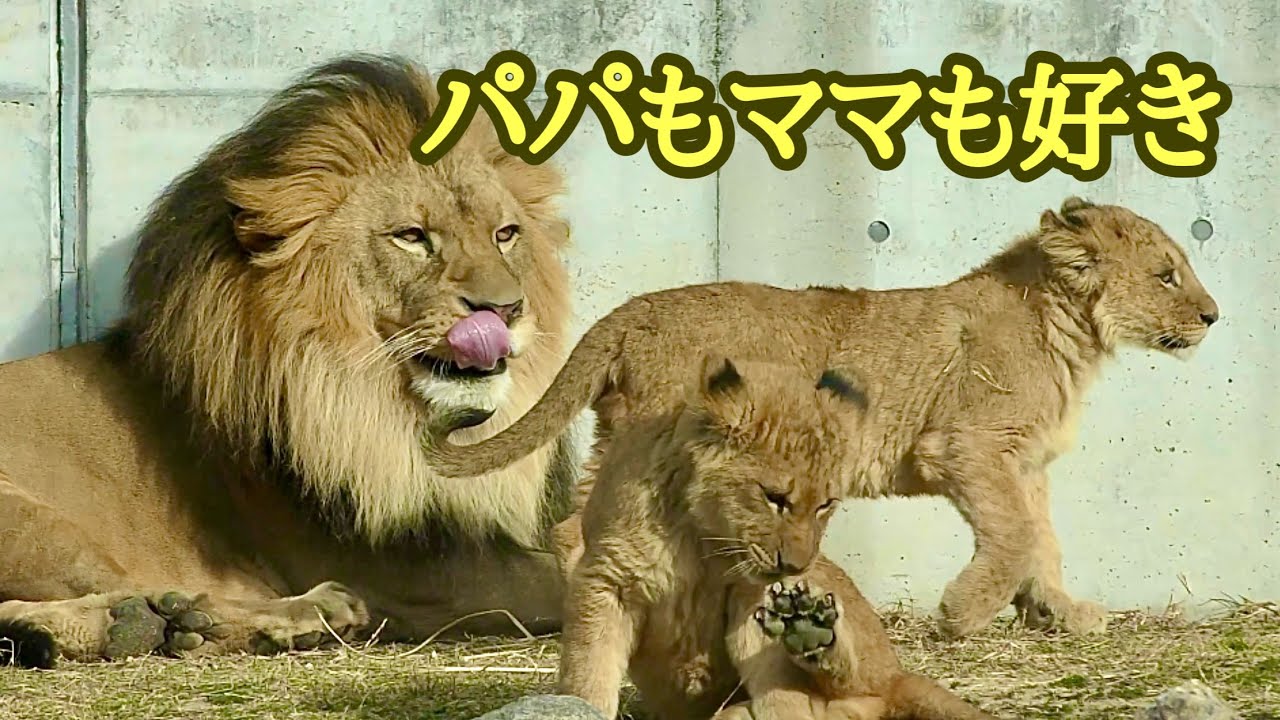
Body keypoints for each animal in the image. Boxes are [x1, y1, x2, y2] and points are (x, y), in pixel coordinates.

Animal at [0, 54, 584, 668]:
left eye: (505, 234)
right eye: (411, 236)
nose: (507, 309)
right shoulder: (399, 568)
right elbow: (560, 575)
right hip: (36, 521)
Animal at [428, 197, 1221, 640]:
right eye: (1167, 275)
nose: (1214, 315)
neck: (1070, 333)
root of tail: (631, 312)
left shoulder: (1022, 462)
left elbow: (1042, 540)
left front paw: (1060, 611)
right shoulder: (964, 445)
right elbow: (1018, 535)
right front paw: (963, 615)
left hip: (621, 432)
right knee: (580, 528)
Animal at [557, 354, 997, 720]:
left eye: (825, 504)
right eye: (775, 498)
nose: (795, 565)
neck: (703, 540)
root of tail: (898, 675)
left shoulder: (750, 598)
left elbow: (776, 683)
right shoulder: (605, 580)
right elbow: (587, 674)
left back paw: (812, 631)